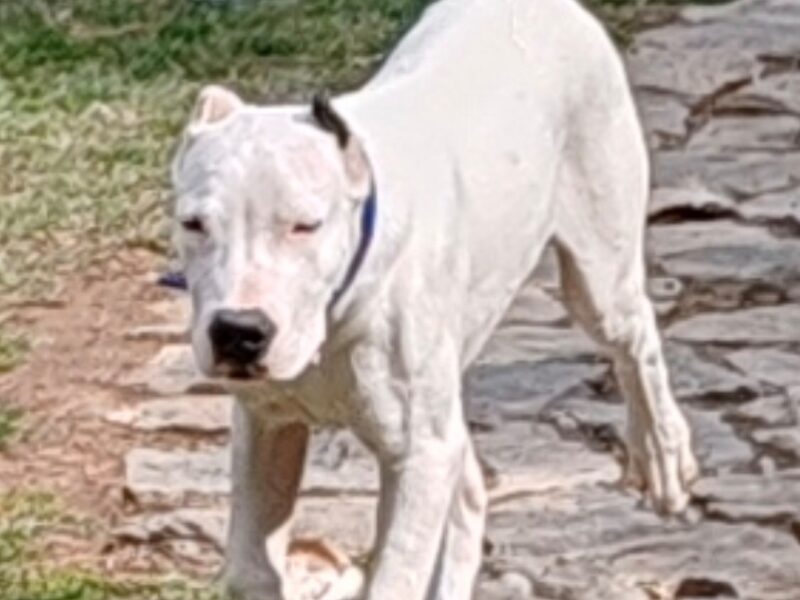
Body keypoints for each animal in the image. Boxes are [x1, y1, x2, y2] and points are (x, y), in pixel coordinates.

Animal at [172, 0, 696, 596]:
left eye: (306, 225)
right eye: (193, 224)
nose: (239, 331)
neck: (336, 311)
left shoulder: (418, 454)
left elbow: (394, 575)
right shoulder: (267, 425)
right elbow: (249, 568)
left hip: (600, 271)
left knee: (635, 340)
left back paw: (661, 451)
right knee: (467, 491)